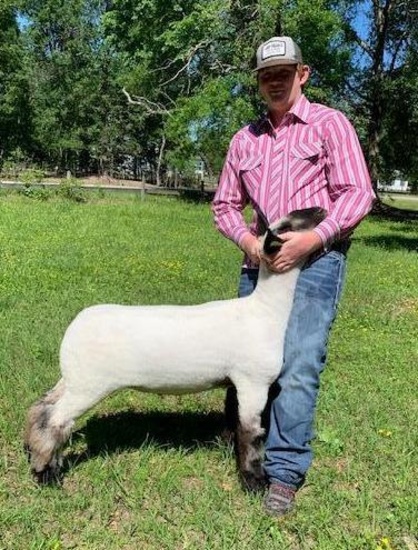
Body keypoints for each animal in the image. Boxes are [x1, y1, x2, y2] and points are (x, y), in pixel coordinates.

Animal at [25, 207, 326, 492]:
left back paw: (33, 453)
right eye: (287, 225)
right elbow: (251, 434)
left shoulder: (237, 383)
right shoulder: (253, 382)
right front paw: (254, 482)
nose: (321, 209)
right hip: (90, 385)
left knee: (41, 408)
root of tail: (75, 326)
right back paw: (46, 474)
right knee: (56, 421)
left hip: (73, 377)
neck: (266, 311)